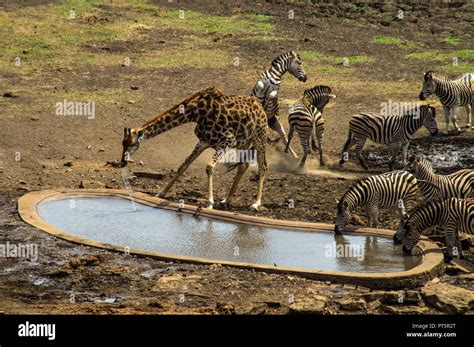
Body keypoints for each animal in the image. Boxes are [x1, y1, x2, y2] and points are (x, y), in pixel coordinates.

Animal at [120, 88, 268, 211]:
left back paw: (255, 204)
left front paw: (209, 203)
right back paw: (226, 200)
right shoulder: (203, 141)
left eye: (132, 144)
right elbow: (183, 166)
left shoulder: (228, 139)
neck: (196, 113)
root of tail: (261, 108)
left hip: (259, 137)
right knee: (244, 165)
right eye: (123, 143)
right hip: (244, 142)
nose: (122, 161)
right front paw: (161, 192)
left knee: (263, 166)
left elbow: (209, 167)